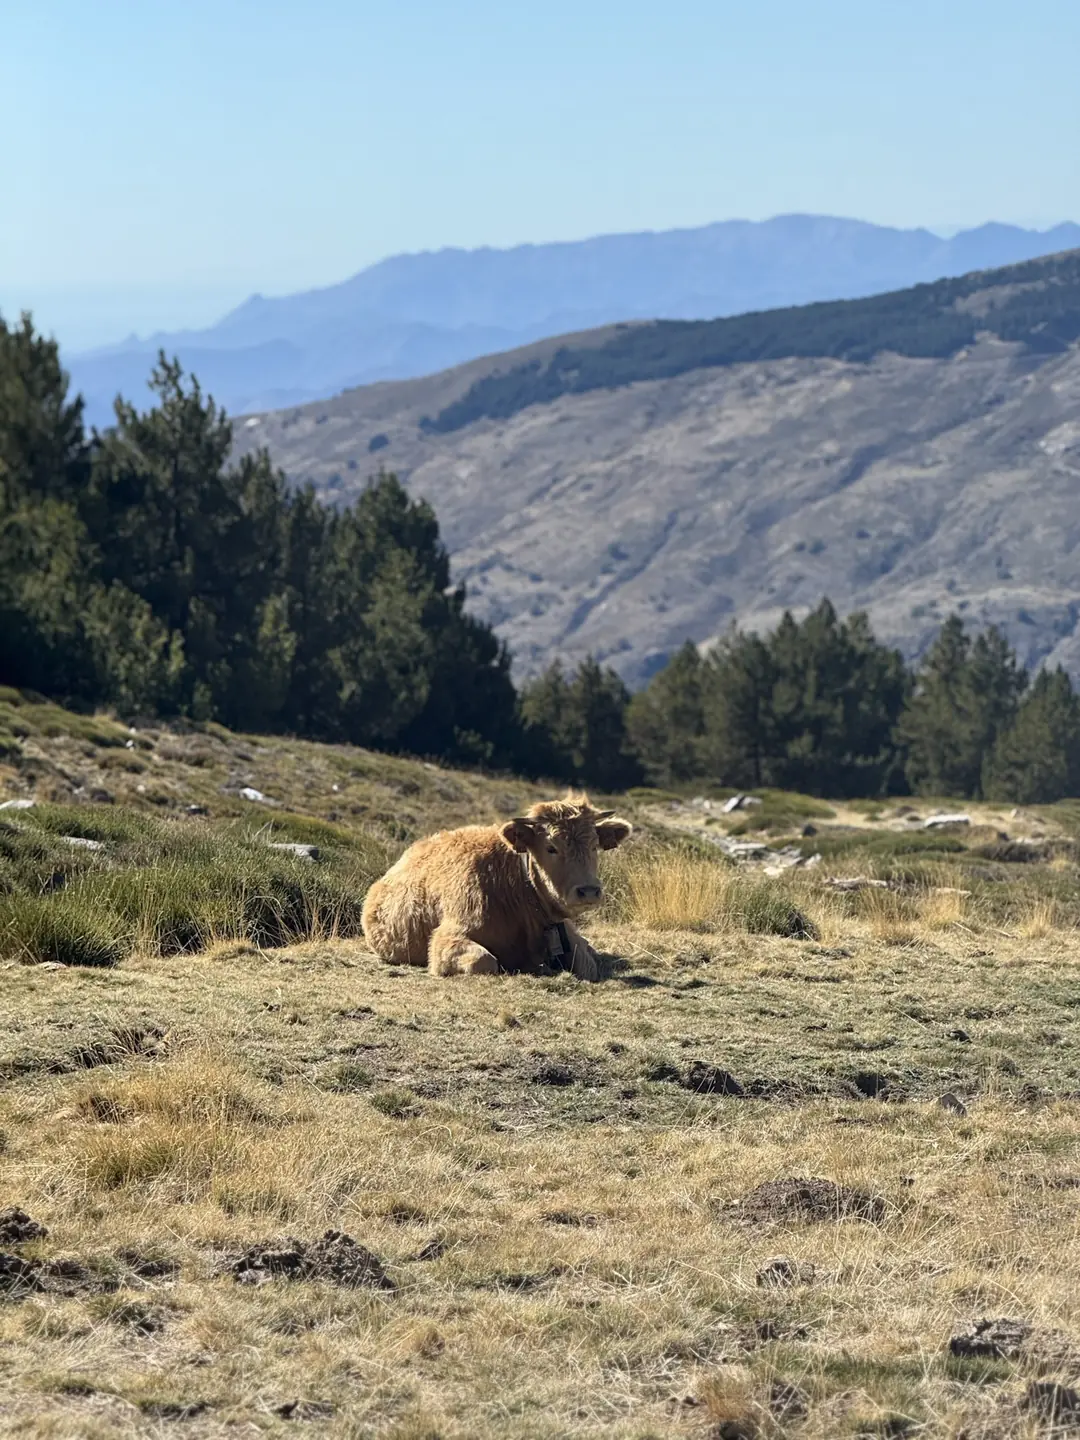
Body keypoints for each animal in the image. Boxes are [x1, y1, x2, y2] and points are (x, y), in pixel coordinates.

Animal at [361, 793, 632, 981]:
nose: (589, 891)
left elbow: (587, 964)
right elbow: (484, 961)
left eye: (595, 846)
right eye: (551, 847)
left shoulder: (567, 934)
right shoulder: (447, 938)